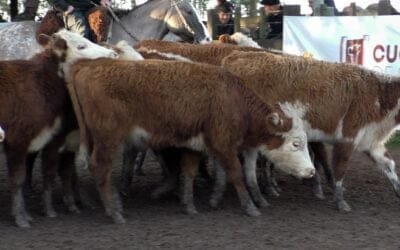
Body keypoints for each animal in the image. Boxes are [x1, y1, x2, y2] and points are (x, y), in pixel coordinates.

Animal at [0, 28, 117, 227]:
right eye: (81, 46)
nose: (113, 54)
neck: (39, 83)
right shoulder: (17, 141)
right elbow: (18, 179)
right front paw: (21, 217)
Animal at [66, 58, 316, 223]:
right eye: (296, 144)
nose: (311, 172)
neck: (233, 98)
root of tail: (87, 65)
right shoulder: (223, 144)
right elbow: (236, 174)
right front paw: (250, 206)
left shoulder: (194, 146)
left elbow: (188, 172)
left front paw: (188, 205)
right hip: (108, 138)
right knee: (100, 167)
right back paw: (115, 211)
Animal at [222, 51, 400, 212]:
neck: (379, 95)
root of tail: (236, 56)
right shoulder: (347, 138)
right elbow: (340, 169)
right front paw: (340, 201)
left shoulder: (371, 141)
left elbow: (389, 164)